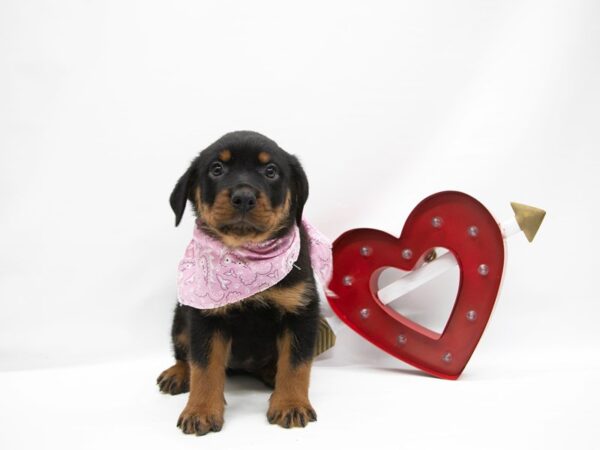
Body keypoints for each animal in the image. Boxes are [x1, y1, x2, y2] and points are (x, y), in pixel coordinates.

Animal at [157, 130, 322, 436]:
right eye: (216, 169)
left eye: (271, 171)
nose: (243, 197)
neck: (244, 256)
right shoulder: (205, 318)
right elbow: (204, 368)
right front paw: (200, 410)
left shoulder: (301, 310)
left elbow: (296, 364)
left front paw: (291, 404)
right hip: (181, 317)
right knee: (184, 354)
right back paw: (178, 374)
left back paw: (272, 373)